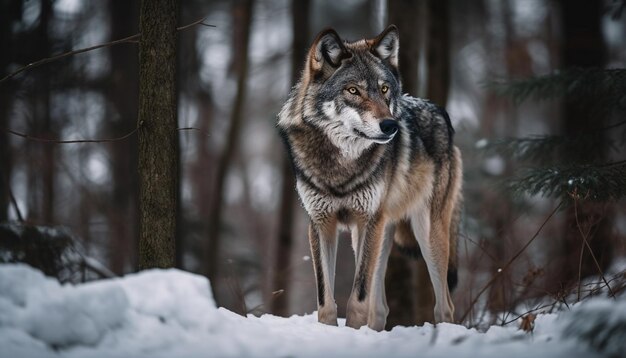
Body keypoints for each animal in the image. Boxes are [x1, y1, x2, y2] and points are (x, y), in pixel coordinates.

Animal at [276, 25, 460, 332]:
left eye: (384, 89)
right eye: (353, 90)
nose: (391, 126)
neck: (340, 166)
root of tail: (441, 112)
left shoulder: (367, 220)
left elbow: (358, 298)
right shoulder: (320, 224)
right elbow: (326, 300)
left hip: (425, 232)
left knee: (445, 305)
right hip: (375, 234)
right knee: (381, 308)